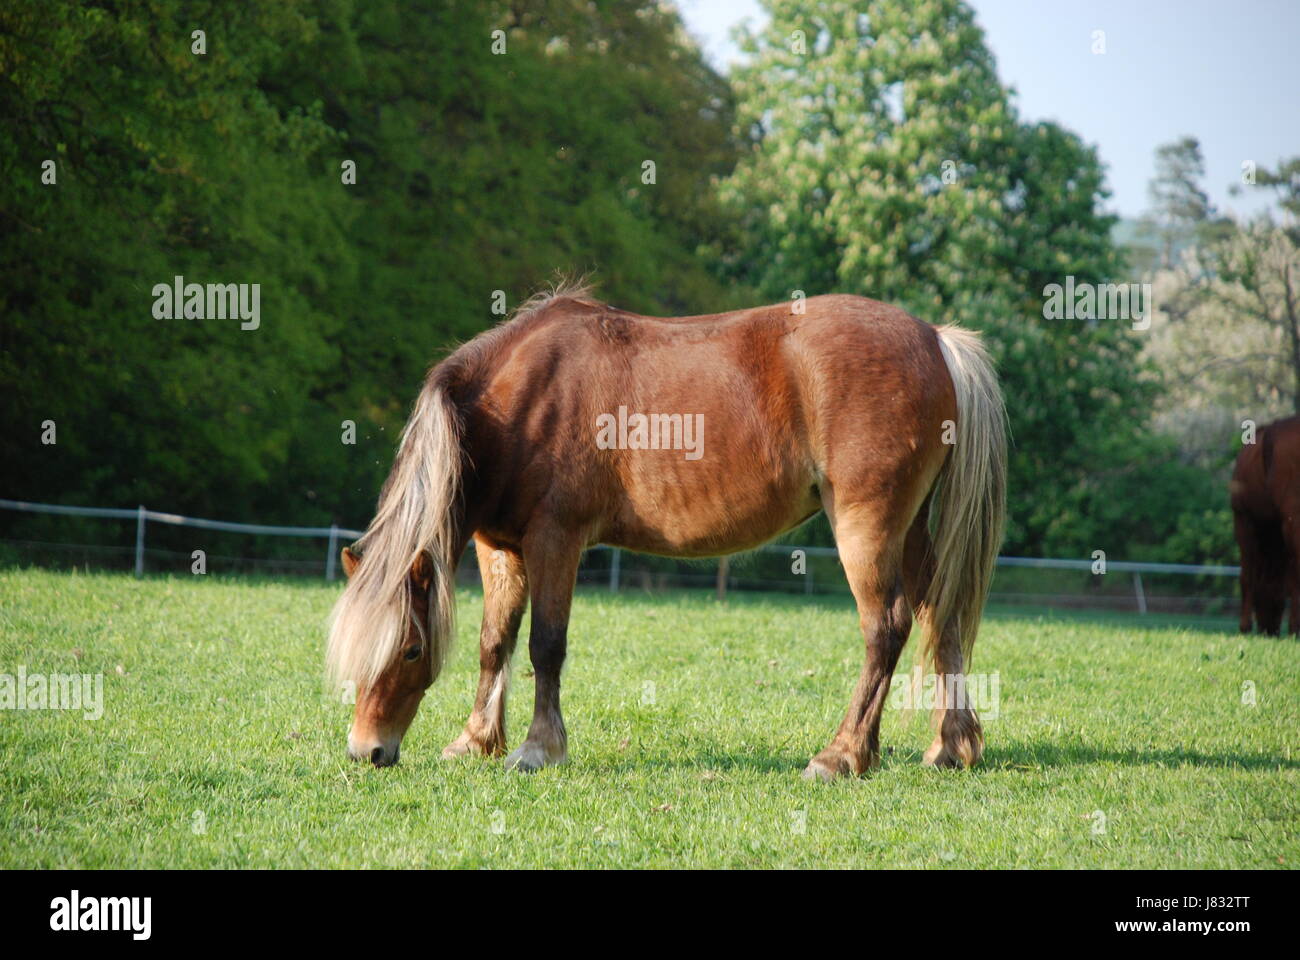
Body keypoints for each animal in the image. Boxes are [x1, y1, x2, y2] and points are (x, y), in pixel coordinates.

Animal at [322, 283, 1003, 780]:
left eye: (410, 650)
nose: (367, 752)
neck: (516, 402)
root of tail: (935, 340)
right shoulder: (500, 550)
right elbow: (497, 643)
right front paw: (476, 740)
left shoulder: (555, 541)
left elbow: (546, 645)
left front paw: (539, 749)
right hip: (909, 530)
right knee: (938, 614)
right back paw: (949, 747)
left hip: (867, 525)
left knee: (885, 628)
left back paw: (840, 756)